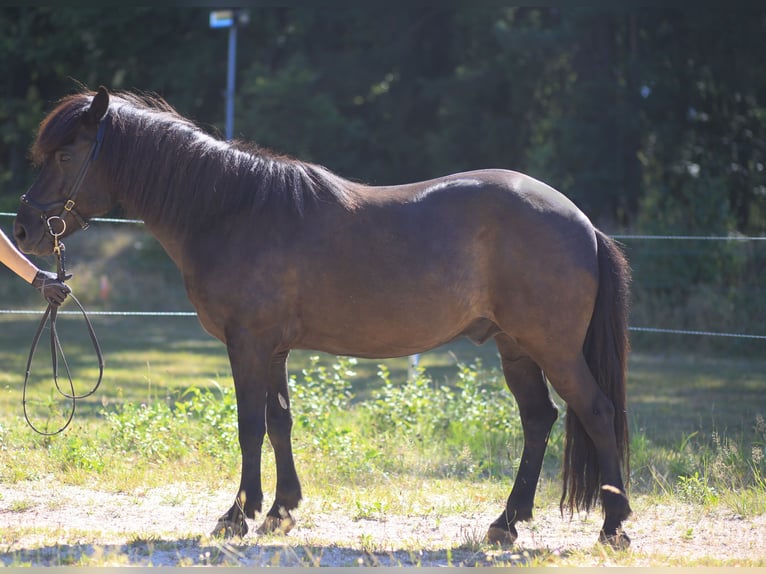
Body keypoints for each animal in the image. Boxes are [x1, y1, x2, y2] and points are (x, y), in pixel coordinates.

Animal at [14, 86, 632, 548]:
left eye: (66, 155)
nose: (23, 231)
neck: (232, 209)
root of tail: (581, 221)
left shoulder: (247, 344)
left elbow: (249, 425)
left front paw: (235, 516)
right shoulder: (273, 349)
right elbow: (280, 422)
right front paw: (280, 512)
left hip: (551, 349)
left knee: (596, 412)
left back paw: (613, 527)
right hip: (515, 348)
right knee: (539, 420)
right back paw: (506, 524)